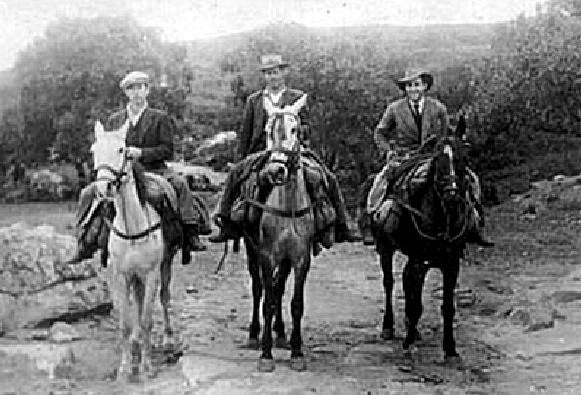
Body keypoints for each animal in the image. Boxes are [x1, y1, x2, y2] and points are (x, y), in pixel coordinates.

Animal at [245, 96, 318, 374]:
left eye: (295, 129)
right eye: (267, 131)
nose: (276, 171)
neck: (288, 207)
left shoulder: (300, 258)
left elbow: (295, 303)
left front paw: (297, 352)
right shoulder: (267, 256)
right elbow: (266, 301)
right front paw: (266, 355)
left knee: (278, 288)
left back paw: (280, 332)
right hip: (251, 250)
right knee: (259, 289)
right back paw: (255, 334)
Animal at [374, 125, 474, 360]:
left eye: (464, 157)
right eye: (437, 158)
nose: (451, 195)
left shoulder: (451, 264)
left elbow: (447, 306)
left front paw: (450, 349)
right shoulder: (419, 260)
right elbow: (416, 304)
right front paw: (408, 344)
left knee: (405, 282)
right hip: (386, 248)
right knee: (389, 283)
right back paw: (389, 327)